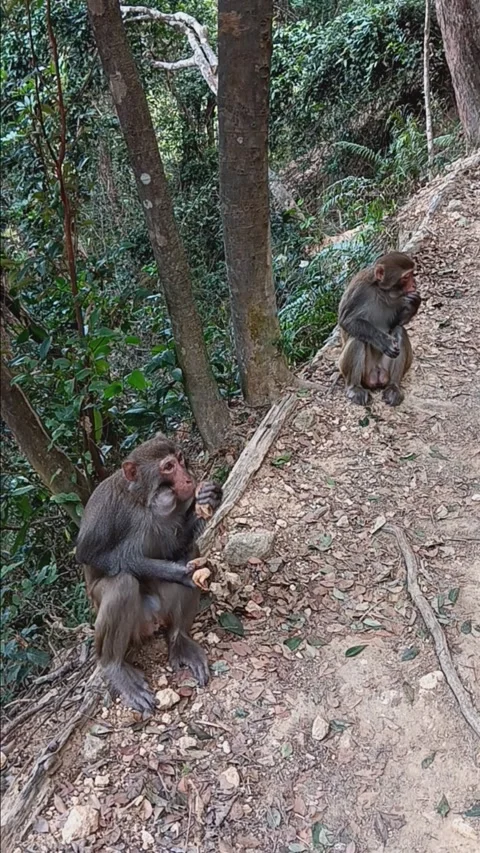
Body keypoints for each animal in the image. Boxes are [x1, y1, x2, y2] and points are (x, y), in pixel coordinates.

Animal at [75, 433, 222, 712]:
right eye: (168, 467)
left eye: (180, 459)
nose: (189, 479)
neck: (143, 501)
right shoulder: (106, 508)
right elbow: (95, 555)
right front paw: (179, 573)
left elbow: (178, 544)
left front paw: (210, 498)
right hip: (135, 621)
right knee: (122, 583)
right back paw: (114, 667)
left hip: (161, 612)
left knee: (190, 550)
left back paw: (179, 639)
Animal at [337, 251, 421, 407]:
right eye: (406, 277)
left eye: (413, 274)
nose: (414, 284)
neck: (381, 290)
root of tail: (376, 375)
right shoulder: (359, 290)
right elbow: (348, 321)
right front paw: (384, 342)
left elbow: (397, 323)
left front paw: (414, 304)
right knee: (358, 338)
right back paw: (354, 388)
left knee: (400, 331)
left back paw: (393, 387)